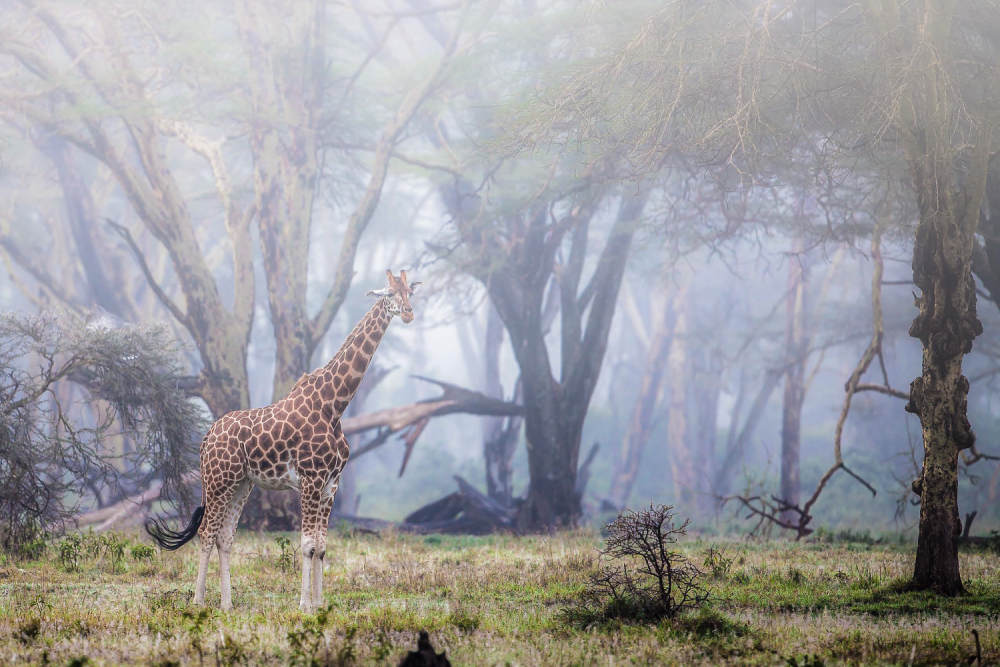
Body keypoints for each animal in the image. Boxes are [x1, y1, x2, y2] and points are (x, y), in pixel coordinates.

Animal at [146, 270, 420, 612]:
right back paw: (198, 602)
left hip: (241, 484)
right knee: (207, 532)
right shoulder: (311, 480)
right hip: (218, 481)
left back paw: (227, 604)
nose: (409, 314)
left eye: (410, 292)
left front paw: (319, 603)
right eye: (390, 294)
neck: (334, 405)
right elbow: (307, 545)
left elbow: (322, 545)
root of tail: (206, 437)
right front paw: (304, 605)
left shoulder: (331, 484)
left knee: (225, 536)